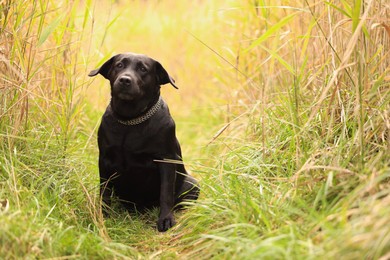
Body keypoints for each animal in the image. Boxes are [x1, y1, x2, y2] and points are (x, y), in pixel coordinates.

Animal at [88, 52, 198, 232]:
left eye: (143, 69)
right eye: (119, 65)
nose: (125, 80)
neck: (130, 121)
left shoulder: (166, 160)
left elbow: (166, 193)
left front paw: (166, 219)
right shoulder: (104, 159)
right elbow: (104, 191)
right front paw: (104, 215)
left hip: (192, 183)